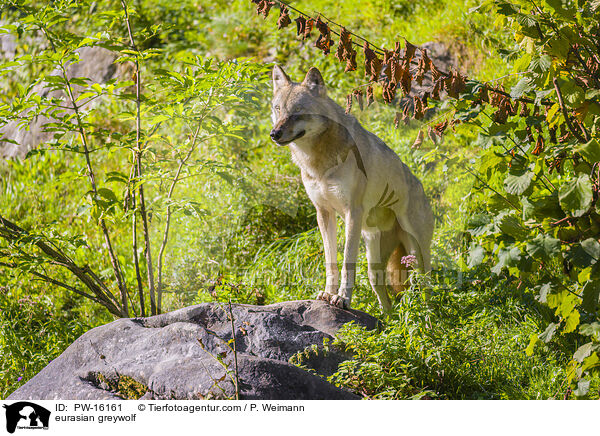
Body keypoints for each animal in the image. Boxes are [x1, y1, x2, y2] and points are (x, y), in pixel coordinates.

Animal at [270, 64, 434, 312]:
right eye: (278, 109)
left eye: (297, 111)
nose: (274, 133)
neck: (318, 163)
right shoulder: (323, 213)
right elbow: (331, 262)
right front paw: (327, 295)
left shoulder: (352, 212)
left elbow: (347, 261)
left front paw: (342, 299)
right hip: (375, 256)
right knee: (379, 285)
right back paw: (389, 318)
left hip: (416, 253)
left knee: (426, 282)